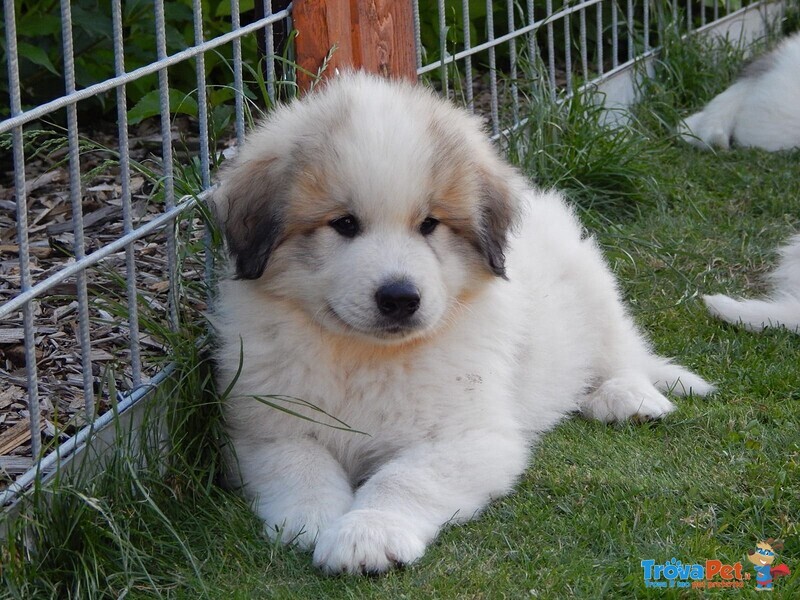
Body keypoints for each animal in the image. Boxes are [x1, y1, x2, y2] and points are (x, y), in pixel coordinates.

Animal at [212, 72, 712, 576]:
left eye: (429, 224)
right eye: (345, 224)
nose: (400, 297)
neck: (365, 355)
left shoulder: (469, 436)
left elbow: (403, 478)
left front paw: (367, 534)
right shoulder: (265, 426)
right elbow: (299, 463)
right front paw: (311, 519)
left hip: (594, 290)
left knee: (621, 353)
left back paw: (627, 397)